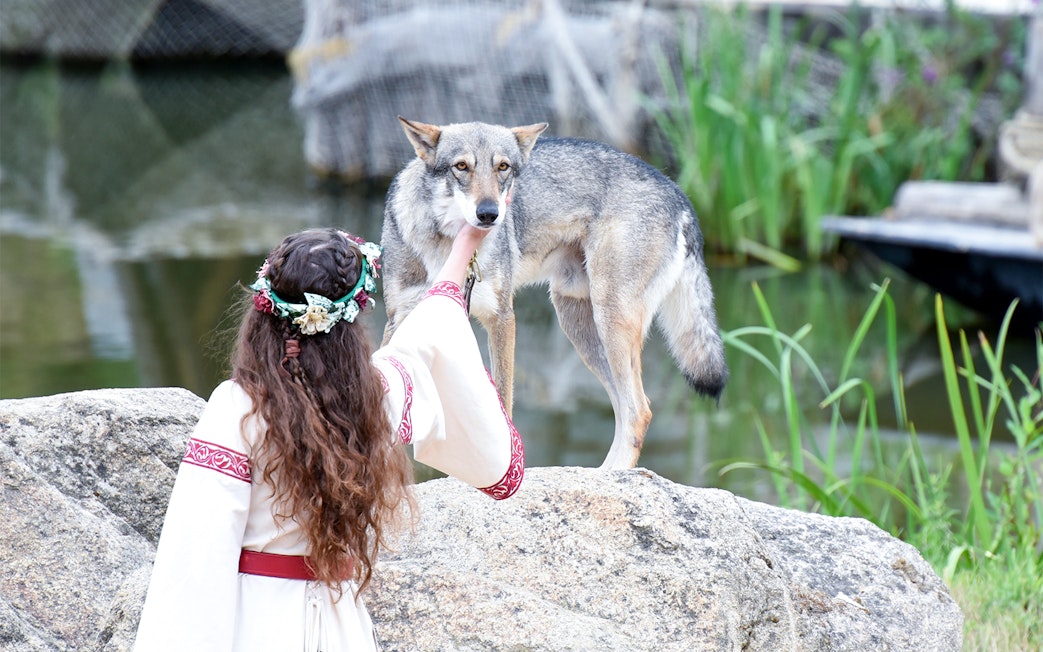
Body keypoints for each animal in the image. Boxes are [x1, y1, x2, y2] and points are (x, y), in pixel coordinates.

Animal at [381, 117, 728, 469]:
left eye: (503, 167)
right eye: (461, 167)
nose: (490, 214)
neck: (451, 249)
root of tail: (679, 194)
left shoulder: (501, 318)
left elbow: (503, 401)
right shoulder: (401, 322)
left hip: (609, 321)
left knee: (639, 410)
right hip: (579, 325)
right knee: (627, 408)